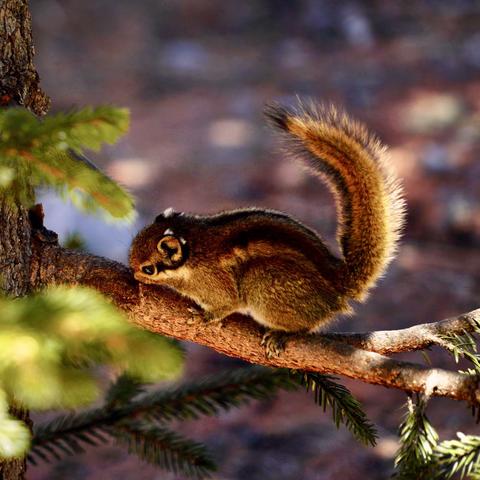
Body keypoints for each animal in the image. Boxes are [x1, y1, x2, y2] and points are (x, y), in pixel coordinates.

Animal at [128, 100, 404, 356]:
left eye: (148, 269)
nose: (134, 275)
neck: (192, 244)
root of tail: (338, 286)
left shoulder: (217, 286)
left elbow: (226, 304)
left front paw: (204, 317)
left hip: (262, 281)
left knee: (305, 325)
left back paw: (281, 334)